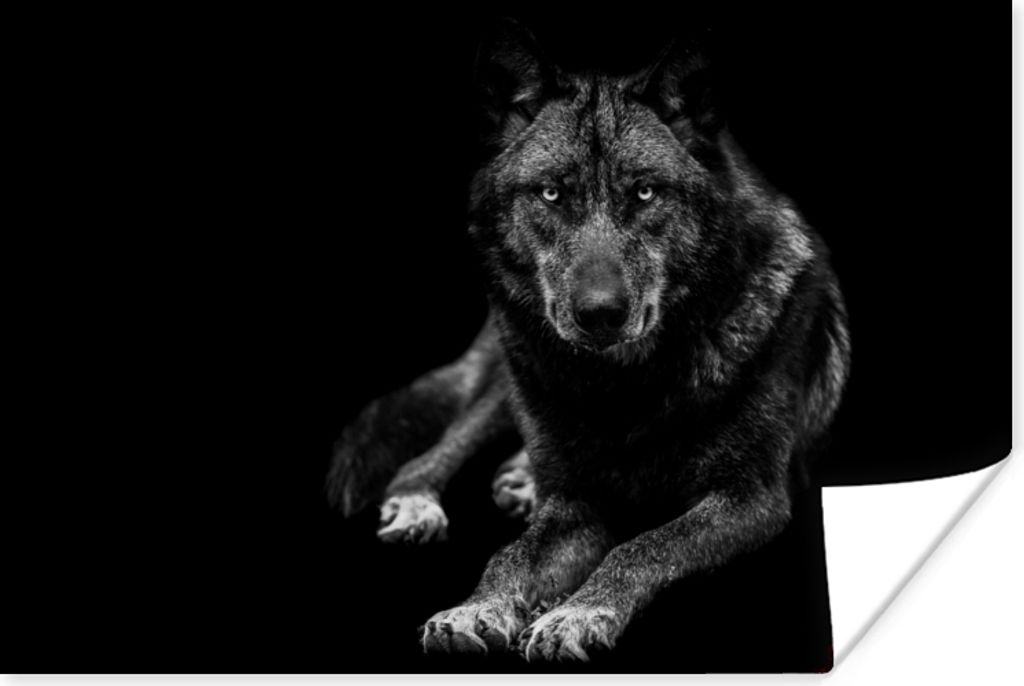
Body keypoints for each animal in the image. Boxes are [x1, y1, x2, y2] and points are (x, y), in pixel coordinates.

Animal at [329, 20, 850, 661]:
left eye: (646, 193)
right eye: (552, 194)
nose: (600, 314)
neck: (623, 389)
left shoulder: (752, 497)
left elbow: (644, 545)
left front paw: (574, 613)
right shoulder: (576, 504)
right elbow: (511, 554)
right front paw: (475, 608)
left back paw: (519, 482)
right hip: (513, 377)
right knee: (435, 449)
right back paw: (421, 499)